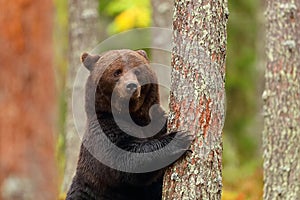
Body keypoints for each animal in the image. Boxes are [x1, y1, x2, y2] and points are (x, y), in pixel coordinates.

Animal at [66, 48, 192, 200]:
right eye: (117, 72)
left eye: (137, 71)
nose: (131, 86)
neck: (134, 116)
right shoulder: (105, 133)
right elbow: (127, 160)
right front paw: (180, 138)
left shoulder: (156, 123)